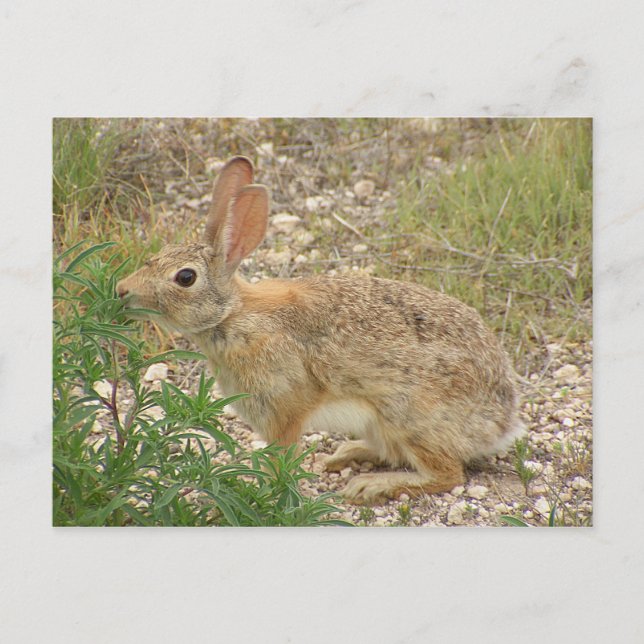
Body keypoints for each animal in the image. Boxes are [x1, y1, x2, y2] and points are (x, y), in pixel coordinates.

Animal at [116, 156, 524, 504]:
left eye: (185, 277)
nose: (121, 290)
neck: (233, 315)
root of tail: (500, 423)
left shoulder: (284, 411)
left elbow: (281, 458)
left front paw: (266, 489)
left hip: (409, 417)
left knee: (447, 474)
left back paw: (369, 486)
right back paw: (346, 454)